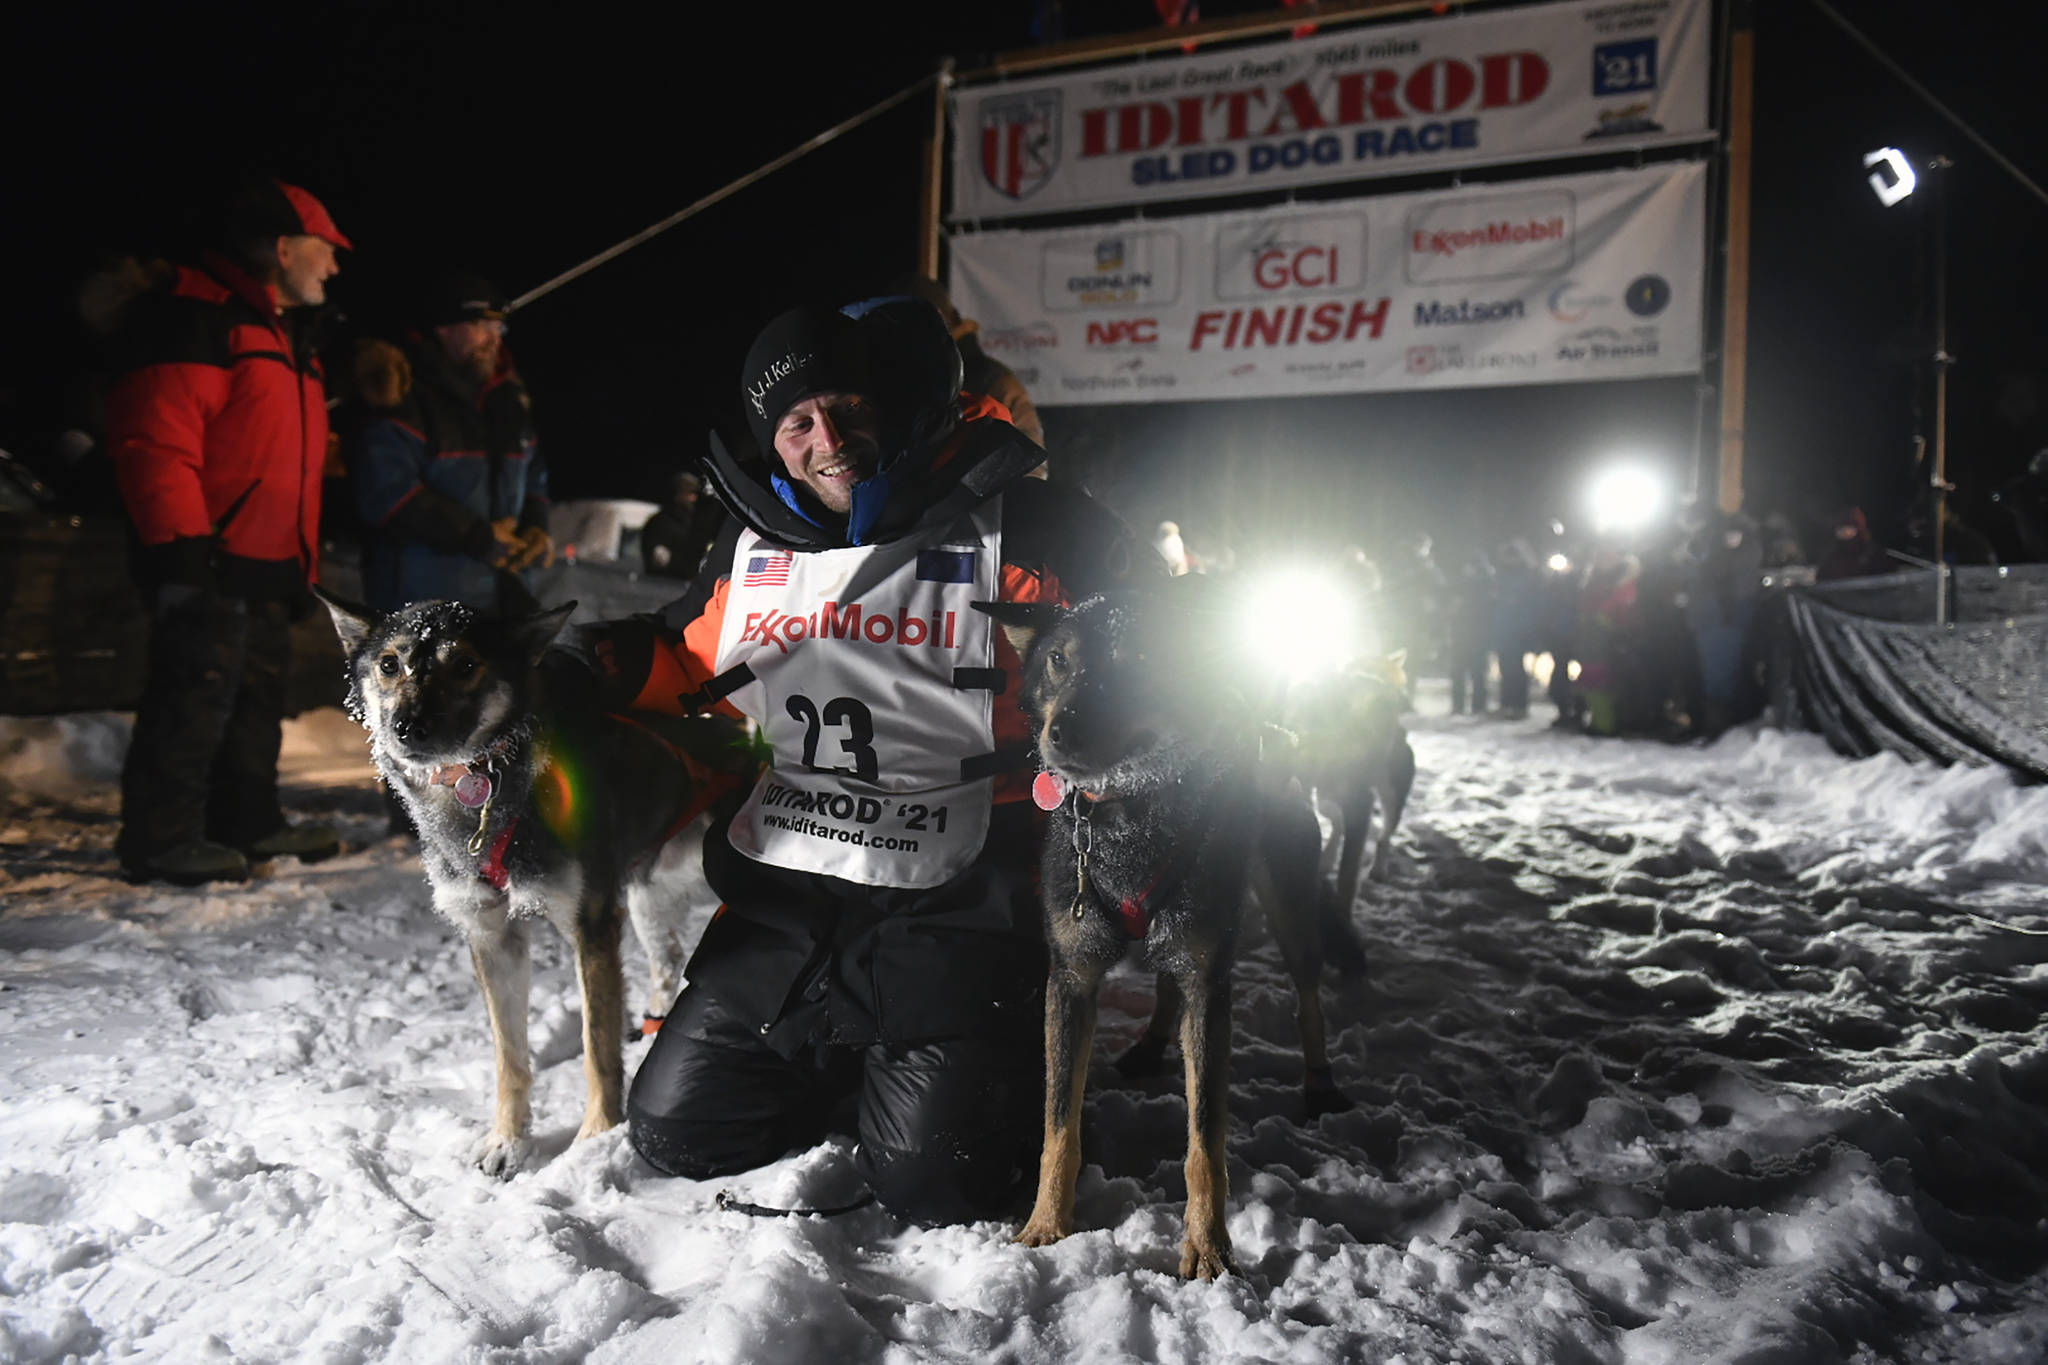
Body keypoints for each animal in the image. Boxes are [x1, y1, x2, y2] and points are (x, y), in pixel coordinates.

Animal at [327, 593, 753, 1178]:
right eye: (390, 664)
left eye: (465, 664)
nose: (407, 726)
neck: (489, 791)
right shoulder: (491, 937)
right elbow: (510, 1057)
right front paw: (508, 1140)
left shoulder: (590, 926)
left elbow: (596, 1049)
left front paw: (595, 1138)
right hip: (645, 897)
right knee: (667, 958)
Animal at [983, 589, 1368, 1285]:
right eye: (1058, 659)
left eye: (1138, 660)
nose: (1064, 733)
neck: (1123, 818)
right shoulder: (1072, 980)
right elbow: (1058, 1126)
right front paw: (1047, 1226)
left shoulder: (1210, 987)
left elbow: (1204, 1142)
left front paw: (1210, 1249)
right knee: (1166, 986)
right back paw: (1149, 1046)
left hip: (1286, 910)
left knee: (1308, 999)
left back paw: (1319, 1083)